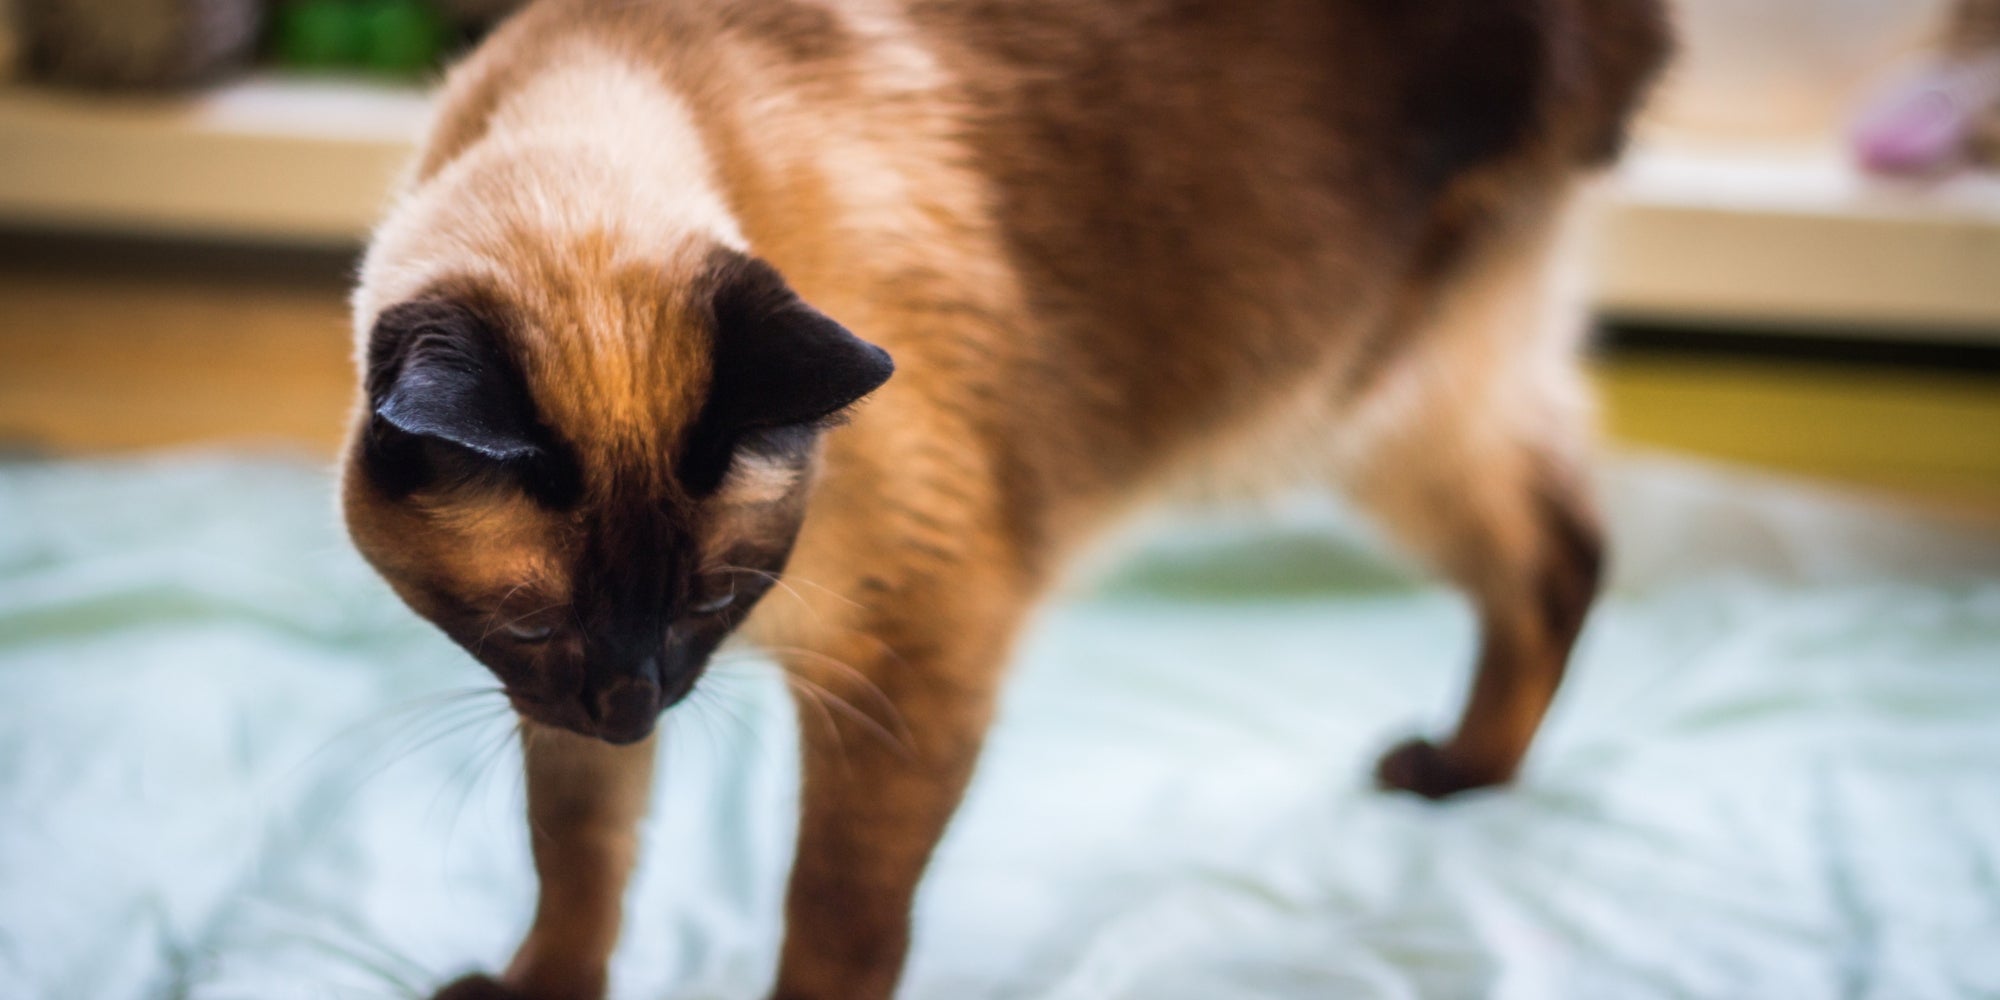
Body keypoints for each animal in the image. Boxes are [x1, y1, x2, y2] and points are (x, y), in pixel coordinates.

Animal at [344, 3, 1672, 996]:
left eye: (713, 600)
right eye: (530, 621)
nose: (635, 707)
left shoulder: (908, 663)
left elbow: (833, 914)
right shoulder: (550, 704)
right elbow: (576, 861)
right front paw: (537, 989)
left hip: (1347, 404)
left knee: (1566, 553)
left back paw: (1456, 776)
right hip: (1377, 410)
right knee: (1560, 554)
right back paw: (1461, 775)